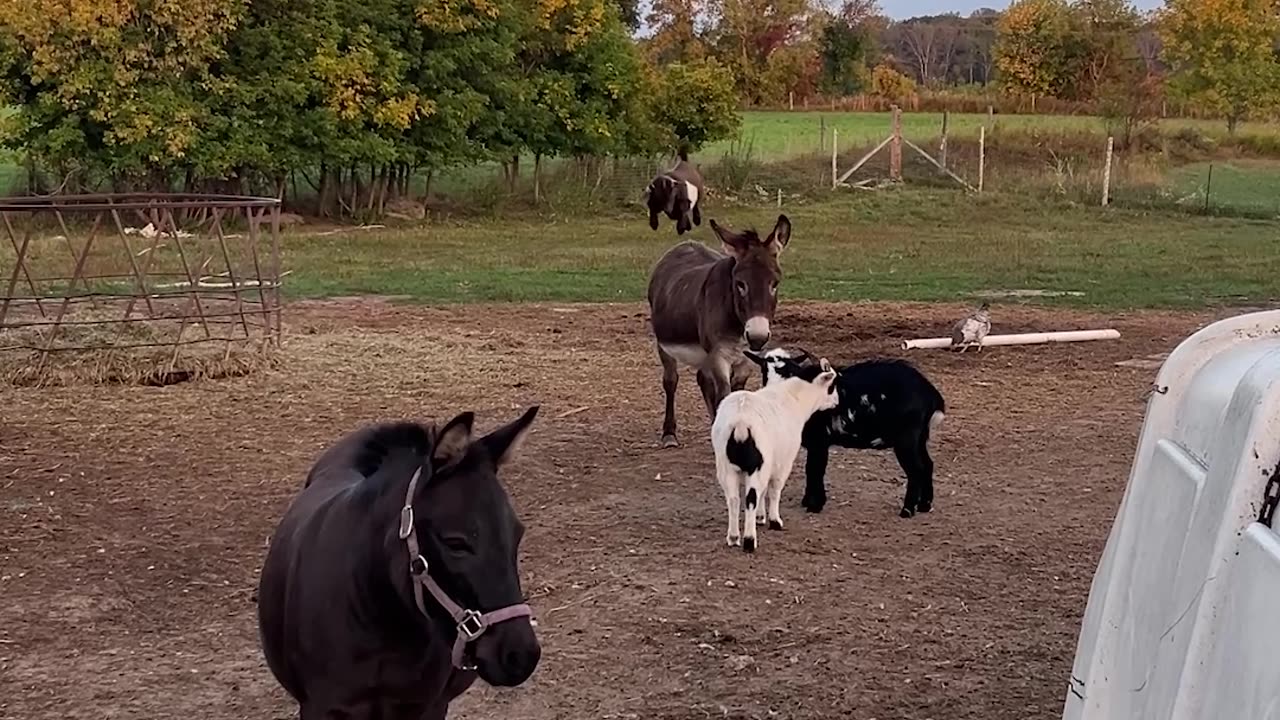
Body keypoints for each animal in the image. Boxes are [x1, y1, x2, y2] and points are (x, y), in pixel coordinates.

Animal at [711, 355, 839, 553]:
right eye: (831, 385)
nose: (837, 402)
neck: (794, 399)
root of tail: (740, 423)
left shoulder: (769, 463)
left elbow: (763, 491)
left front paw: (760, 517)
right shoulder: (783, 462)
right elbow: (774, 490)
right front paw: (774, 520)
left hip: (726, 466)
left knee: (733, 499)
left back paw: (733, 537)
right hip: (757, 465)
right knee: (750, 498)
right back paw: (749, 540)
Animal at [747, 347, 946, 519]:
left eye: (788, 372)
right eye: (764, 370)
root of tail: (931, 394)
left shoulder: (819, 440)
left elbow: (814, 469)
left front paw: (814, 505)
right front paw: (808, 501)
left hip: (907, 437)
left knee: (916, 469)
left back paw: (907, 510)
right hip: (920, 436)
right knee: (928, 464)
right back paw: (925, 505)